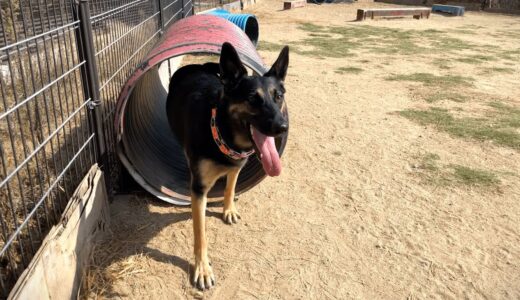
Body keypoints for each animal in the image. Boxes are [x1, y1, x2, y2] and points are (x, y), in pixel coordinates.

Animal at [166, 42, 288, 288]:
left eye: (278, 96)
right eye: (252, 98)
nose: (283, 127)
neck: (222, 132)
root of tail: (197, 66)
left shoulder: (236, 167)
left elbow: (230, 188)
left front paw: (228, 209)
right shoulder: (199, 190)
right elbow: (200, 233)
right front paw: (202, 269)